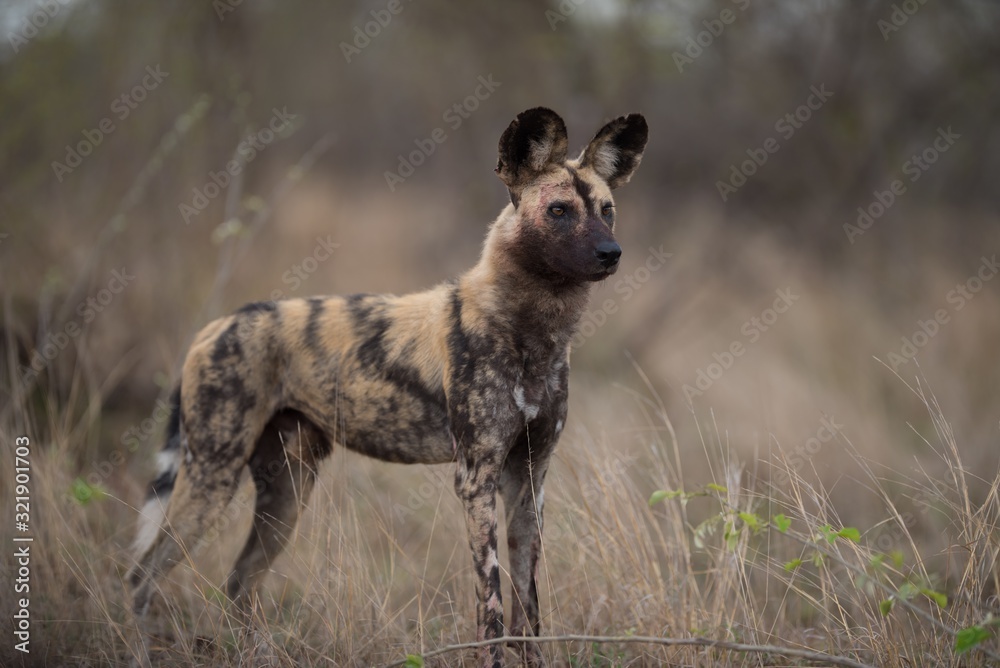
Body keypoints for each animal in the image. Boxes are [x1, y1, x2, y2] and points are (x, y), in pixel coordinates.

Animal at [129, 107, 648, 664]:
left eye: (607, 210)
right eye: (558, 211)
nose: (611, 252)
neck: (532, 332)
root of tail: (214, 327)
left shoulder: (530, 477)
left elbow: (528, 611)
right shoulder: (477, 480)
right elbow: (491, 607)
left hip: (287, 492)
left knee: (240, 579)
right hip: (212, 478)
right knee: (141, 576)